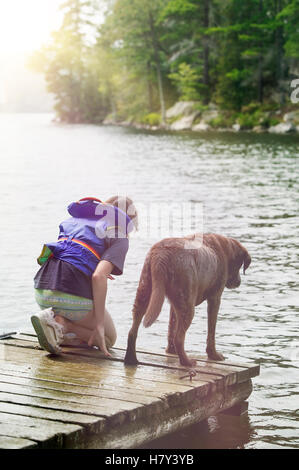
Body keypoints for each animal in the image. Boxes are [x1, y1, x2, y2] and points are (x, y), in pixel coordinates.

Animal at [123, 233, 252, 370]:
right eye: (240, 265)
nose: (238, 282)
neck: (224, 249)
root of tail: (161, 255)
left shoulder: (174, 305)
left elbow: (171, 327)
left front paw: (171, 351)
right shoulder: (215, 298)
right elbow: (211, 332)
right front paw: (214, 355)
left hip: (144, 292)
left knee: (132, 331)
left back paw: (131, 359)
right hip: (187, 305)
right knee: (179, 338)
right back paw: (187, 362)